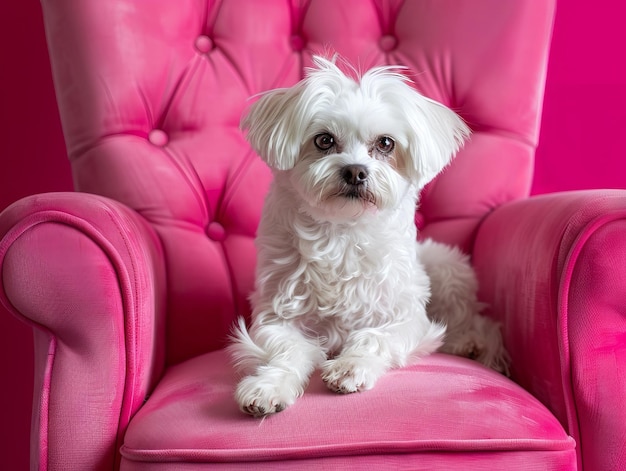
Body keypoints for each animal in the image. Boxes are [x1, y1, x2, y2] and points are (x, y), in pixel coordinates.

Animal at [229, 57, 508, 418]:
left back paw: (469, 343)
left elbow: (375, 337)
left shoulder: (406, 317)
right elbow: (286, 349)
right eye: (324, 140)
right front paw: (269, 386)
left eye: (386, 143)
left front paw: (350, 366)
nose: (355, 171)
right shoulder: (276, 315)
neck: (343, 233)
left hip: (445, 268)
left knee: (476, 320)